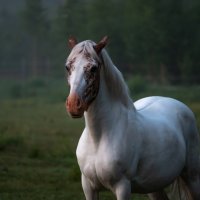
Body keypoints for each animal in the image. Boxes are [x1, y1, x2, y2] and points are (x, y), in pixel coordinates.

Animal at [65, 36, 200, 199]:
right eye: (68, 67)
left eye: (93, 68)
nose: (73, 105)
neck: (99, 138)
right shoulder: (88, 187)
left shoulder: (122, 186)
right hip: (154, 186)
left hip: (192, 177)